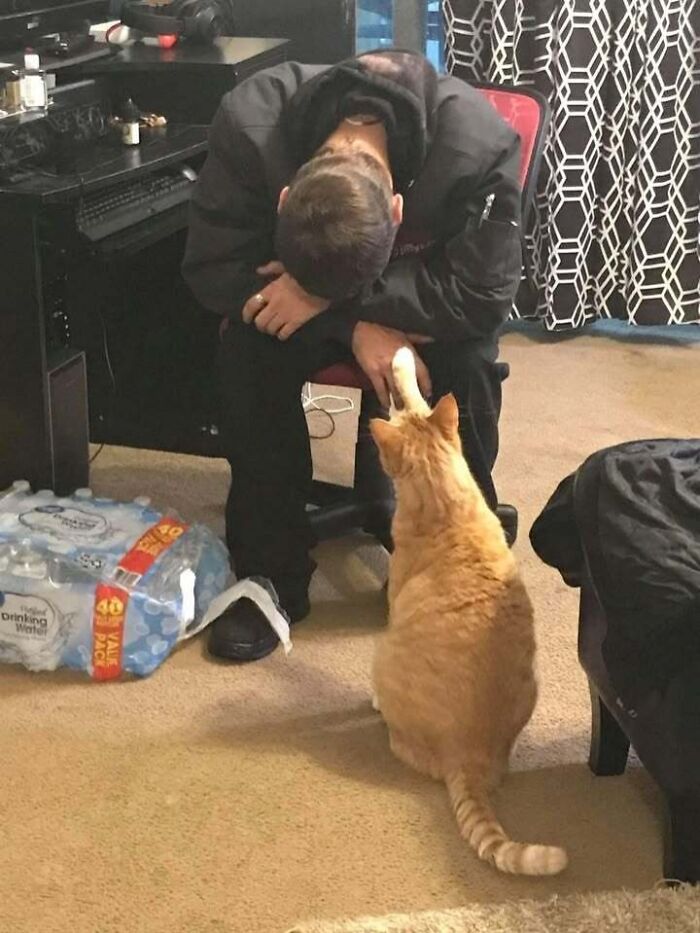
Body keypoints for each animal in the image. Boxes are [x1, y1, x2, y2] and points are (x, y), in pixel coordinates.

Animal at [370, 348, 568, 872]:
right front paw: (400, 361)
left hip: (383, 654)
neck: (442, 494)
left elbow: (409, 404)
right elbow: (415, 398)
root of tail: (470, 757)